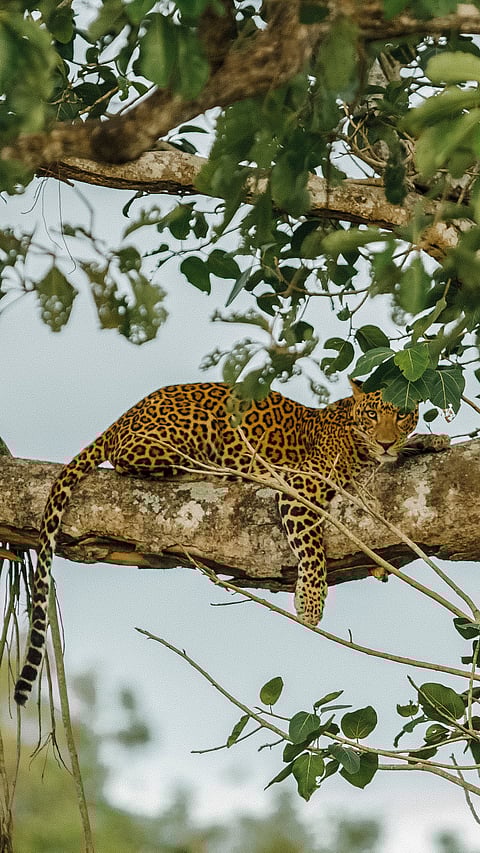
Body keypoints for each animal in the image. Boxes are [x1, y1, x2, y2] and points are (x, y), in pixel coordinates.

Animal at [14, 378, 447, 706]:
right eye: (372, 415)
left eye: (401, 414)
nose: (387, 442)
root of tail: (124, 415)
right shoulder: (299, 487)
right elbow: (311, 548)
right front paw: (310, 602)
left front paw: (433, 439)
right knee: (130, 460)